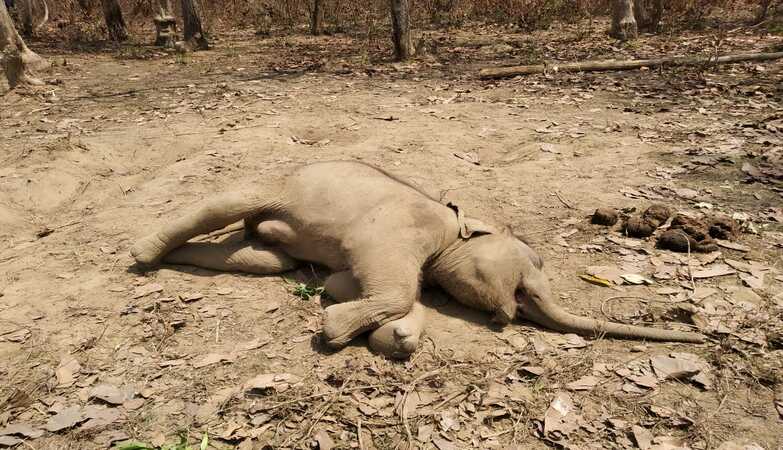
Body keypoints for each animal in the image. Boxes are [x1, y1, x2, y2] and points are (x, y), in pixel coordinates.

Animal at [132, 161, 708, 358]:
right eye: (533, 264)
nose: (514, 311)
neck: (457, 223)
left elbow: (349, 284)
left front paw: (395, 339)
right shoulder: (395, 232)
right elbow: (393, 285)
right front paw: (335, 331)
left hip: (268, 238)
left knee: (262, 257)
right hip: (280, 186)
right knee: (232, 203)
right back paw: (141, 255)